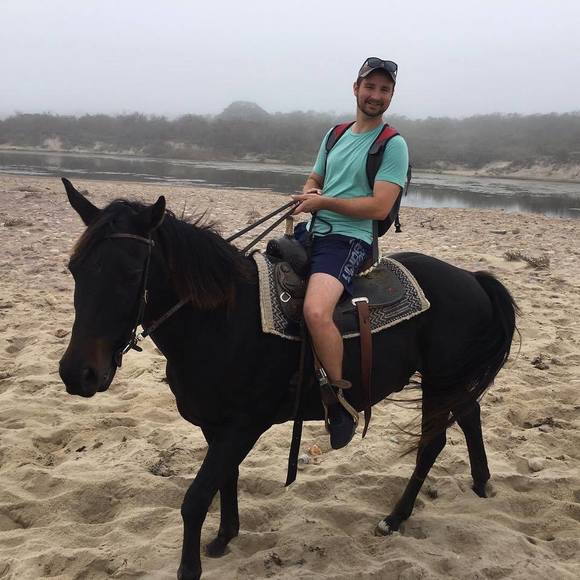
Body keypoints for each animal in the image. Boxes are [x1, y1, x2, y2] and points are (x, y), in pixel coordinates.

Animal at [58, 178, 518, 580]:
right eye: (74, 268)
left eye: (131, 273)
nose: (77, 373)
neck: (221, 321)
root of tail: (473, 278)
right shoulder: (215, 425)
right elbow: (226, 479)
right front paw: (225, 537)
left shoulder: (242, 426)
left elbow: (196, 498)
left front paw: (190, 568)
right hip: (452, 381)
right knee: (470, 415)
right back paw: (481, 483)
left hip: (441, 380)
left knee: (432, 445)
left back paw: (396, 517)